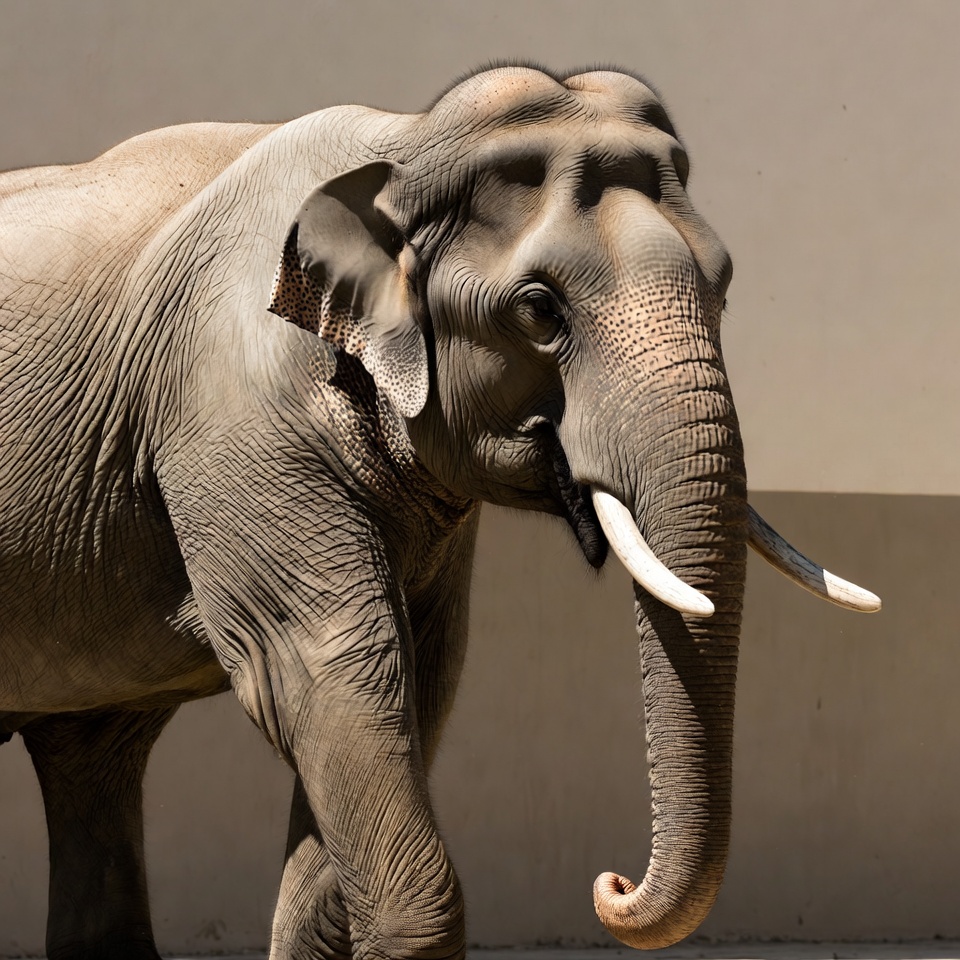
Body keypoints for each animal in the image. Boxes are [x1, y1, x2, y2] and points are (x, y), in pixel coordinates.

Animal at [0, 64, 879, 959]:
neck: (405, 142)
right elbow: (324, 672)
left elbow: (416, 677)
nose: (612, 885)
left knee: (93, 755)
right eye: (538, 310)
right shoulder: (233, 417)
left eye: (724, 286)